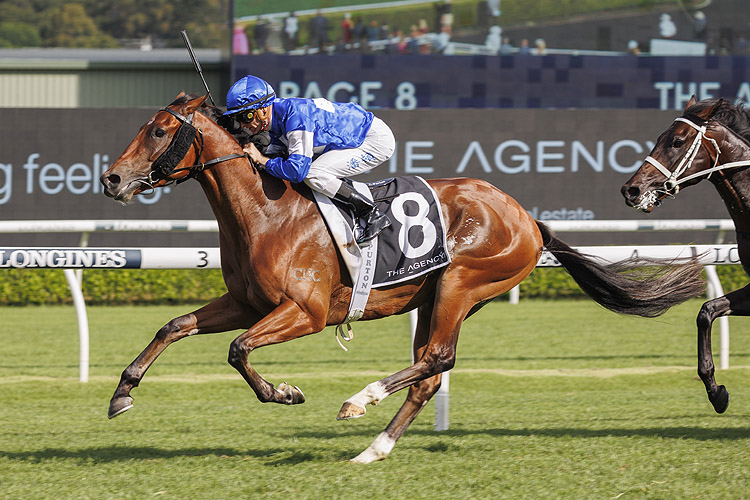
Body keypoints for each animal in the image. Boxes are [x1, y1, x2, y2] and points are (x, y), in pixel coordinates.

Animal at [103, 93, 708, 460]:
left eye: (159, 131)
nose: (111, 179)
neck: (267, 211)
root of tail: (526, 216)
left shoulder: (306, 312)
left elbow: (238, 350)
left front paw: (285, 392)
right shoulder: (248, 303)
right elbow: (175, 326)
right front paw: (122, 394)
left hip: (463, 281)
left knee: (436, 359)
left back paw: (360, 399)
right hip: (436, 297)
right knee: (430, 372)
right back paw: (374, 448)